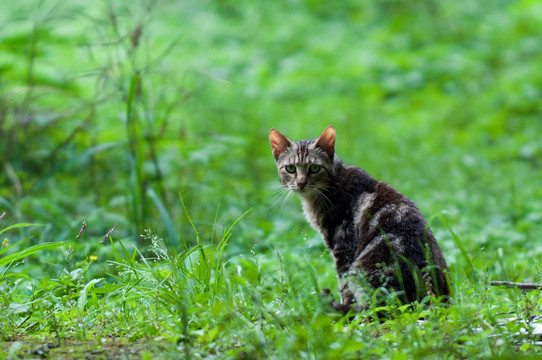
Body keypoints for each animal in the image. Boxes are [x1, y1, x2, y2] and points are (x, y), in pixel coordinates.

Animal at [270, 126, 452, 312]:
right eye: (290, 168)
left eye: (314, 168)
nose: (301, 183)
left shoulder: (343, 245)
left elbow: (344, 287)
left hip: (363, 271)